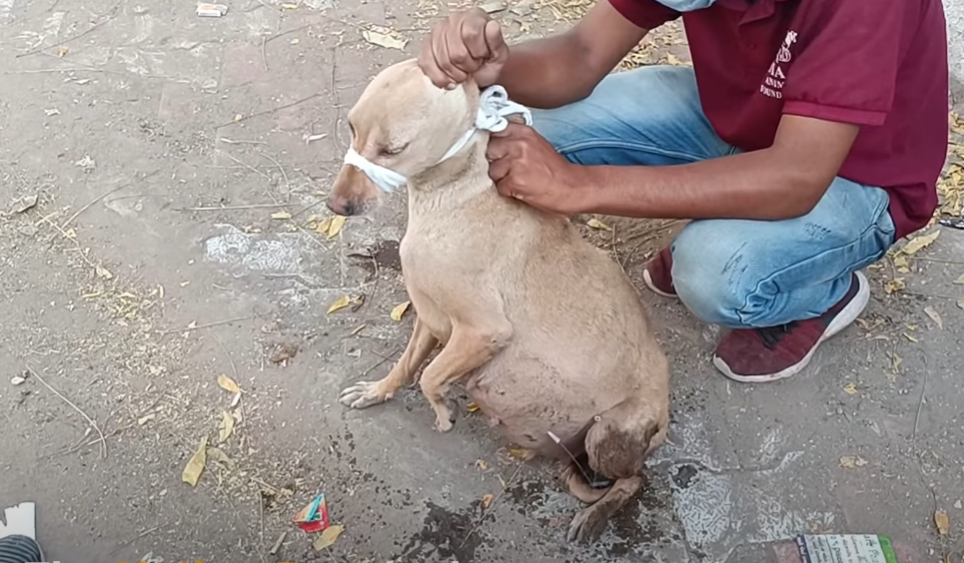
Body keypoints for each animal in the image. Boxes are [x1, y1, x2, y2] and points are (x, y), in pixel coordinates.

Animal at [328, 59, 668, 544]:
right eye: (351, 128)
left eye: (392, 149)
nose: (335, 206)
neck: (450, 195)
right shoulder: (431, 318)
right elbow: (407, 366)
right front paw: (378, 392)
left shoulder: (482, 331)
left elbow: (430, 376)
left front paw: (443, 410)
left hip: (608, 433)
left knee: (635, 479)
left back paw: (597, 513)